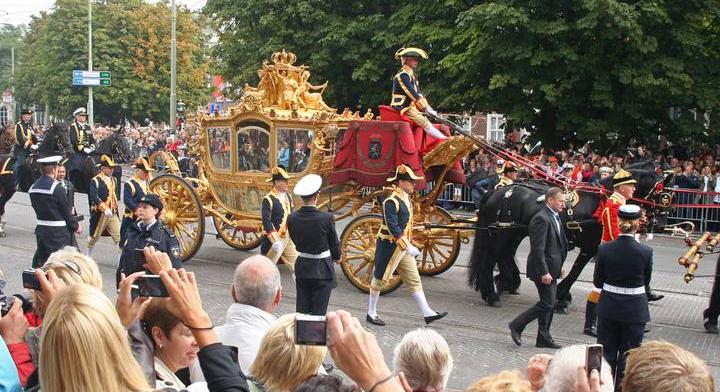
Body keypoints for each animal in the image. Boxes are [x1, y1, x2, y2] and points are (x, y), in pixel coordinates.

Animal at [466, 161, 676, 310]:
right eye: (662, 195)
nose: (660, 225)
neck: (602, 199)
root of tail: (498, 190)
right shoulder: (592, 245)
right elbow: (577, 270)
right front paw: (562, 295)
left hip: (514, 232)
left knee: (505, 254)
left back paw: (508, 281)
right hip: (501, 233)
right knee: (491, 256)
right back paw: (491, 294)